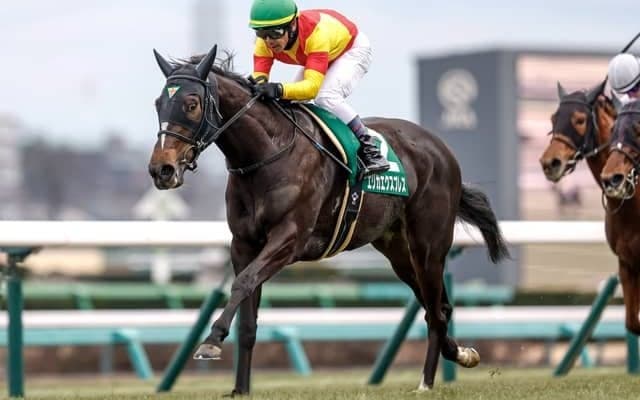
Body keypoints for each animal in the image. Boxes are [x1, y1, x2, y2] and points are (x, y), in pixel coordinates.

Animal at [148, 45, 509, 394]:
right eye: (158, 103)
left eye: (192, 104)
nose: (161, 169)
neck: (266, 155)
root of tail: (440, 148)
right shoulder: (244, 244)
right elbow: (248, 320)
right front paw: (240, 389)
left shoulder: (289, 239)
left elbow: (242, 283)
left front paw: (211, 341)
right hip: (398, 252)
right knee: (437, 307)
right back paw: (461, 353)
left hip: (429, 246)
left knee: (435, 311)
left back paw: (426, 382)